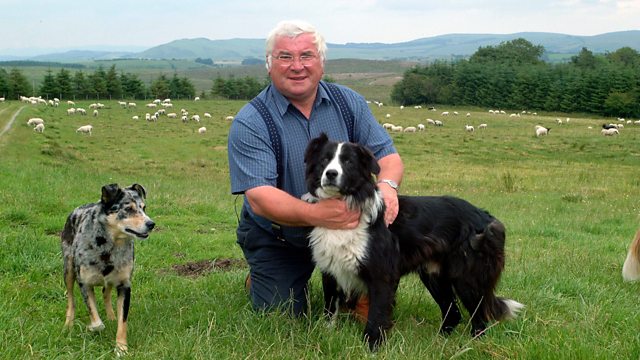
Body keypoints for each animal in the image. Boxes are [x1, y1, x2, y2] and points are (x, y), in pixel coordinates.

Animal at [61, 184, 155, 356]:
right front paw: (94, 327)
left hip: (112, 277)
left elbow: (122, 321)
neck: (108, 246)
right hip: (68, 269)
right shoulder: (84, 283)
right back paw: (68, 324)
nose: (151, 224)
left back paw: (111, 316)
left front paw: (121, 347)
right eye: (128, 209)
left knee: (106, 292)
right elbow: (96, 318)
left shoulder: (124, 285)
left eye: (144, 208)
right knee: (71, 299)